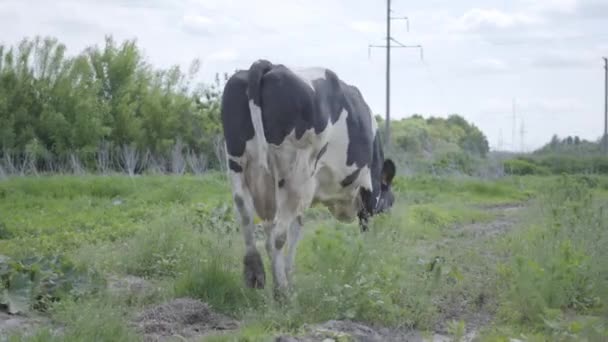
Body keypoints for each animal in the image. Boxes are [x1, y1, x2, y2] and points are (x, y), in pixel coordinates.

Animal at [221, 59, 396, 300]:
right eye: (389, 200)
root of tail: (267, 65)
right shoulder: (363, 192)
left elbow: (291, 228)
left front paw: (285, 274)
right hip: (296, 174)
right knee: (278, 232)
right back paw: (281, 292)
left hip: (236, 160)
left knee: (246, 214)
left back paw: (255, 274)